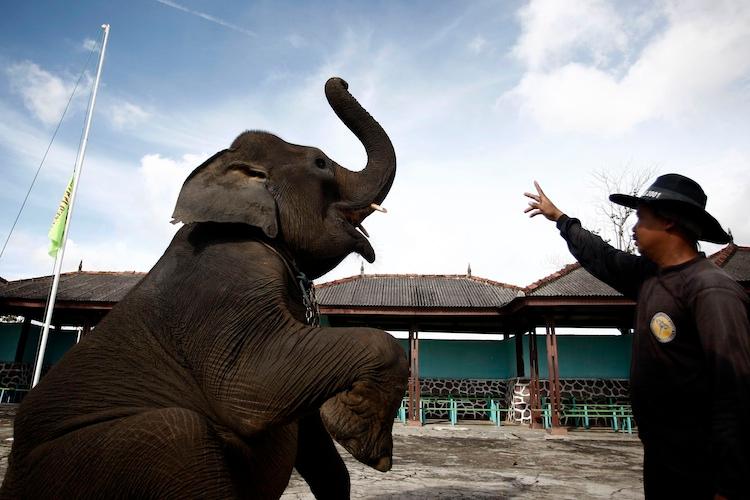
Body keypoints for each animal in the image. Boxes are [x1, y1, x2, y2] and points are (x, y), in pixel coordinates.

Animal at [1, 77, 409, 499]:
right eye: (321, 163)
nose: (339, 80)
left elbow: (318, 447)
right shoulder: (225, 286)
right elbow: (253, 388)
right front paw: (365, 443)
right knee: (182, 433)